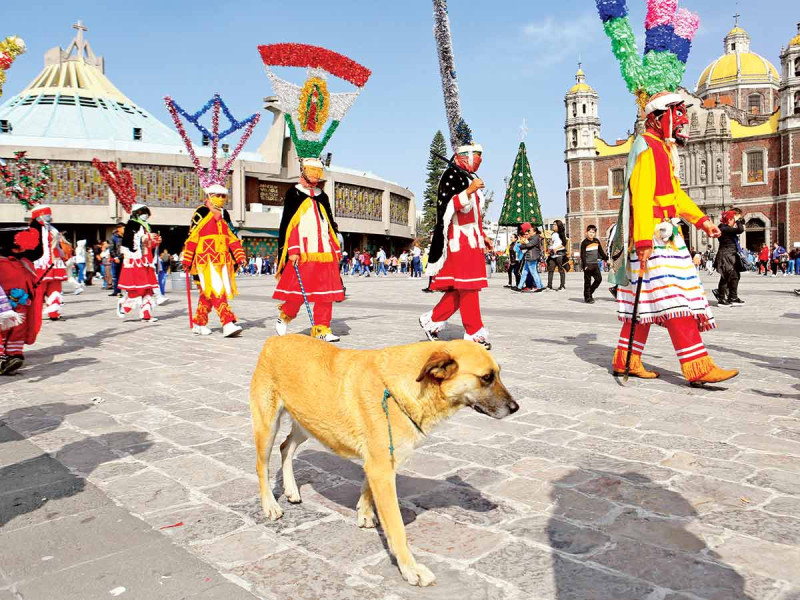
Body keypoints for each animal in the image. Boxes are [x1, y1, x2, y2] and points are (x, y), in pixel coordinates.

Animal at [250, 336, 520, 588]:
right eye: (486, 378)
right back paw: (270, 505)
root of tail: (275, 338)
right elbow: (398, 528)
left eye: (498, 373)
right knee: (262, 466)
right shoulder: (381, 468)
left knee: (286, 447)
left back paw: (291, 490)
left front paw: (365, 513)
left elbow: (367, 488)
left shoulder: (381, 463)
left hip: (308, 423)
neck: (405, 387)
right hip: (268, 426)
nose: (515, 407)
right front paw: (410, 569)